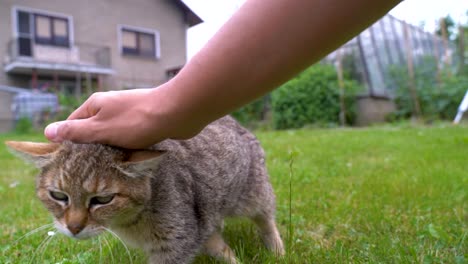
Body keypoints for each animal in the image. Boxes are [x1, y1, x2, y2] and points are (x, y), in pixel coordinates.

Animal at [6, 117, 286, 264]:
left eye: (103, 199)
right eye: (58, 196)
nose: (74, 228)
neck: (131, 222)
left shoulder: (175, 243)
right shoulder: (191, 231)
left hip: (255, 196)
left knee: (266, 220)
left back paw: (277, 249)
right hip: (206, 217)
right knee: (217, 240)